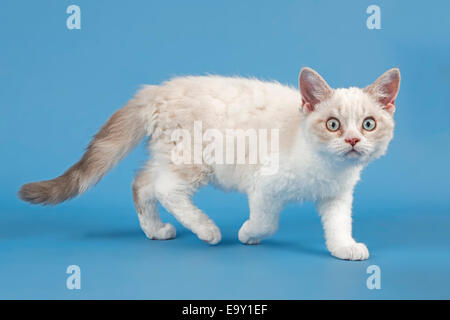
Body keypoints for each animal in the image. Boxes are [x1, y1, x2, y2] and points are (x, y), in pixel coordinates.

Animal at [17, 67, 400, 260]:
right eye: (333, 124)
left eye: (368, 124)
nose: (352, 141)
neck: (325, 167)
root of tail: (156, 89)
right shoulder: (265, 186)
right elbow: (266, 222)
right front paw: (247, 234)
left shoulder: (337, 196)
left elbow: (338, 225)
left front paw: (344, 249)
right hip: (194, 159)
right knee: (166, 189)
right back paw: (206, 230)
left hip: (169, 154)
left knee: (142, 184)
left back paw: (156, 231)